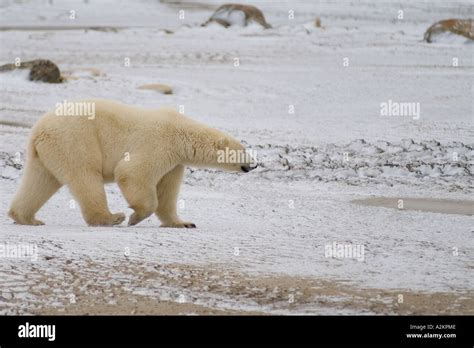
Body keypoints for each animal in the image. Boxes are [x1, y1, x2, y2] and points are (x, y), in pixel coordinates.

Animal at [7, 99, 258, 227]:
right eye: (244, 150)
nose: (254, 164)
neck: (182, 134)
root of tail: (39, 130)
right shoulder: (159, 143)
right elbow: (131, 172)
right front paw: (135, 217)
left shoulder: (175, 162)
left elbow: (167, 192)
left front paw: (183, 223)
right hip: (75, 140)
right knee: (85, 176)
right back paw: (110, 218)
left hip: (46, 153)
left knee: (40, 181)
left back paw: (26, 218)